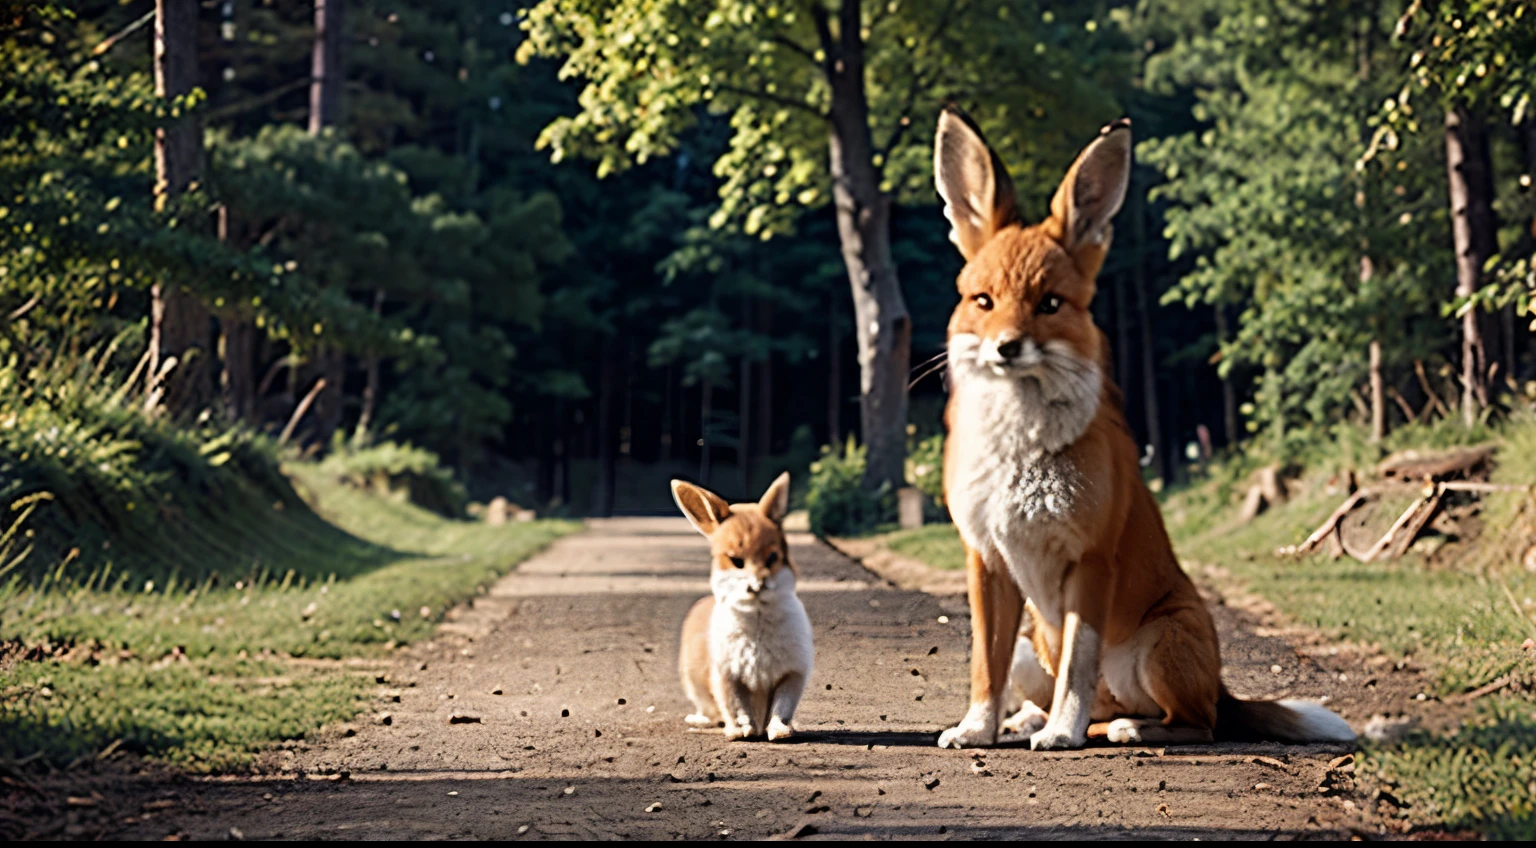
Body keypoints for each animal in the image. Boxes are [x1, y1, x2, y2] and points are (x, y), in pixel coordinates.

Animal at [672, 470, 817, 743]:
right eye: (736, 561)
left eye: (773, 557)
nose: (758, 584)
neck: (757, 613)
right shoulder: (726, 677)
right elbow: (737, 706)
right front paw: (742, 732)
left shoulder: (792, 675)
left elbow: (782, 706)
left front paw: (780, 732)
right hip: (694, 684)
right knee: (710, 710)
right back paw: (699, 720)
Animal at [927, 107, 1351, 749]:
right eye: (983, 301)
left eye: (1050, 304)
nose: (1007, 347)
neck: (1021, 456)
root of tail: (1221, 688)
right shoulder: (986, 559)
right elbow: (984, 666)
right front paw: (978, 728)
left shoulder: (1091, 559)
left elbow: (1076, 665)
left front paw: (1063, 733)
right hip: (1031, 648)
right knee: (1057, 693)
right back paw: (1034, 720)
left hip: (1159, 647)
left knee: (1194, 724)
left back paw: (1116, 728)